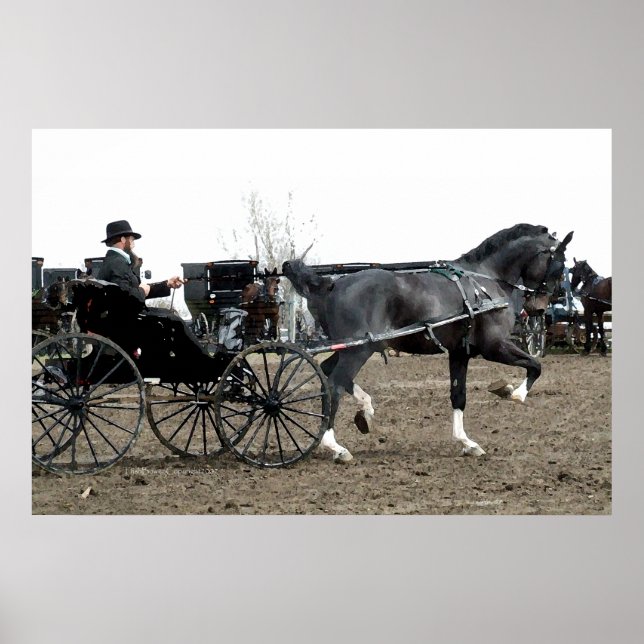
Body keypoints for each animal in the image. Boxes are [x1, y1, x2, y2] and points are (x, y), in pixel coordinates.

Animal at [283, 224, 573, 463]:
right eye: (559, 264)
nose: (539, 308)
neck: (484, 283)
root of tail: (331, 285)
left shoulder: (460, 353)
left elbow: (458, 395)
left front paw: (466, 442)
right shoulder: (494, 347)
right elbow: (535, 366)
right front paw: (514, 393)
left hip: (353, 347)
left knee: (330, 373)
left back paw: (365, 411)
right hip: (358, 349)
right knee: (333, 385)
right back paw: (335, 446)